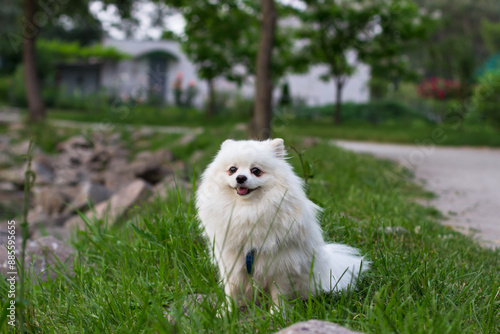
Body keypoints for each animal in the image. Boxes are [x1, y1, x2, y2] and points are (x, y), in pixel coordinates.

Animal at [195, 139, 368, 310]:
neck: (248, 209)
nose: (240, 178)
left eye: (256, 170)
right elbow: (231, 291)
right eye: (232, 169)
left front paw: (277, 313)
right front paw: (226, 312)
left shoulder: (281, 265)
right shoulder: (233, 263)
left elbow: (279, 295)